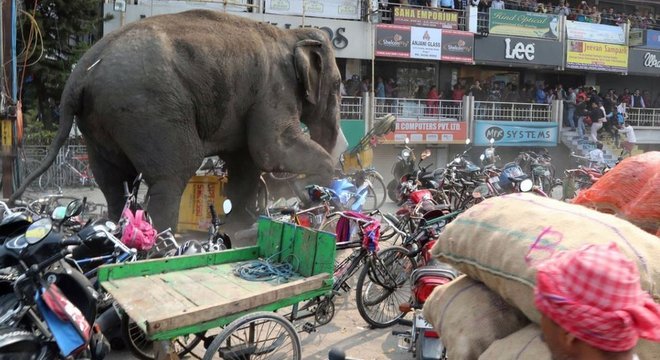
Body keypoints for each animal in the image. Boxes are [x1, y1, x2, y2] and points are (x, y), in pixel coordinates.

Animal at [11, 10, 350, 233]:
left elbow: (245, 162)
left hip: (98, 120)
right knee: (175, 170)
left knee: (112, 179)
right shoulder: (274, 88)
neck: (291, 36)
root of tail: (80, 74)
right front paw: (317, 185)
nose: (307, 196)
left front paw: (242, 227)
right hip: (148, 107)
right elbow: (271, 149)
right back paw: (162, 240)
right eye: (337, 86)